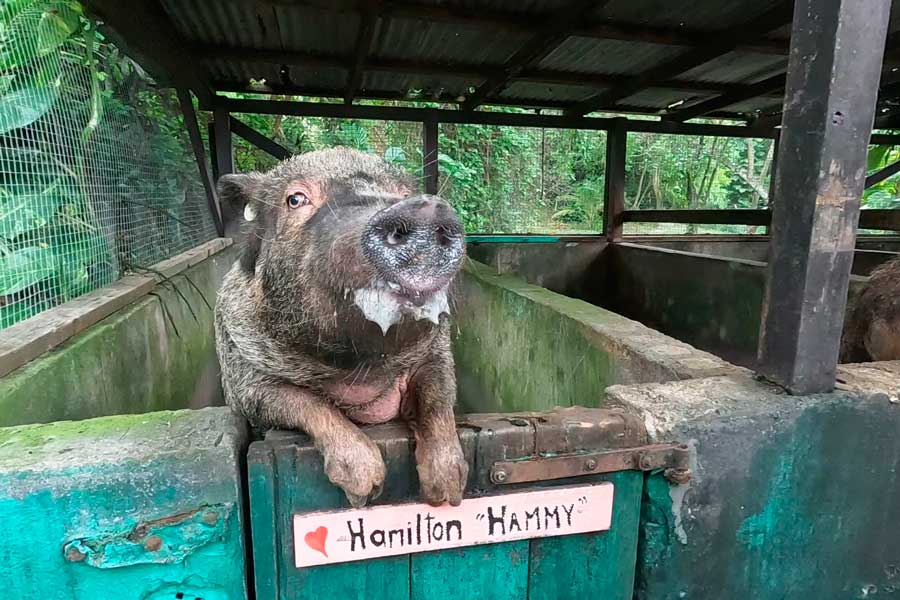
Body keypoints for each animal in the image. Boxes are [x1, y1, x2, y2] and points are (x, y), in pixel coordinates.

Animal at [214, 148, 468, 508]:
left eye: (404, 192)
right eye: (295, 199)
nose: (424, 209)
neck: (358, 366)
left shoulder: (437, 353)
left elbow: (437, 398)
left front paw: (447, 493)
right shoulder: (244, 377)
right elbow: (302, 402)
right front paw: (364, 489)